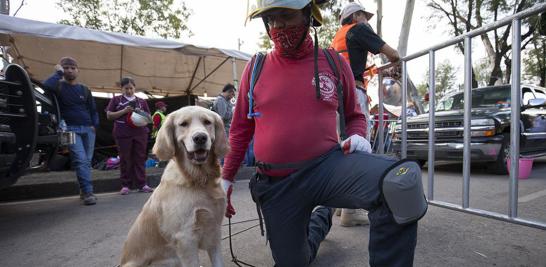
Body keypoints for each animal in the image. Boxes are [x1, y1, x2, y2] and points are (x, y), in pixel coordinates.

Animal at [119, 105, 227, 266]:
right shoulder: (185, 238)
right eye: (183, 124)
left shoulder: (214, 230)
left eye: (207, 122)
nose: (200, 138)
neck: (199, 179)